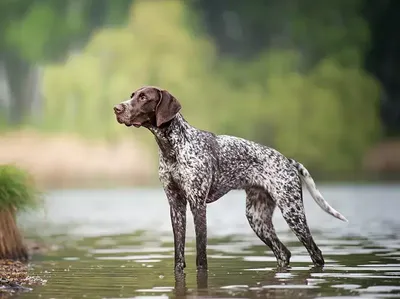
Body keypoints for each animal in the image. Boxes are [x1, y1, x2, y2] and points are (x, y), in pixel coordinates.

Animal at [112, 85, 346, 274]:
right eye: (132, 95)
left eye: (143, 97)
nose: (117, 108)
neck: (172, 148)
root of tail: (288, 161)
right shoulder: (176, 205)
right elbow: (179, 255)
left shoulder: (197, 205)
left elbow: (201, 257)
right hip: (257, 218)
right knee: (283, 252)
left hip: (292, 212)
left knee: (316, 253)